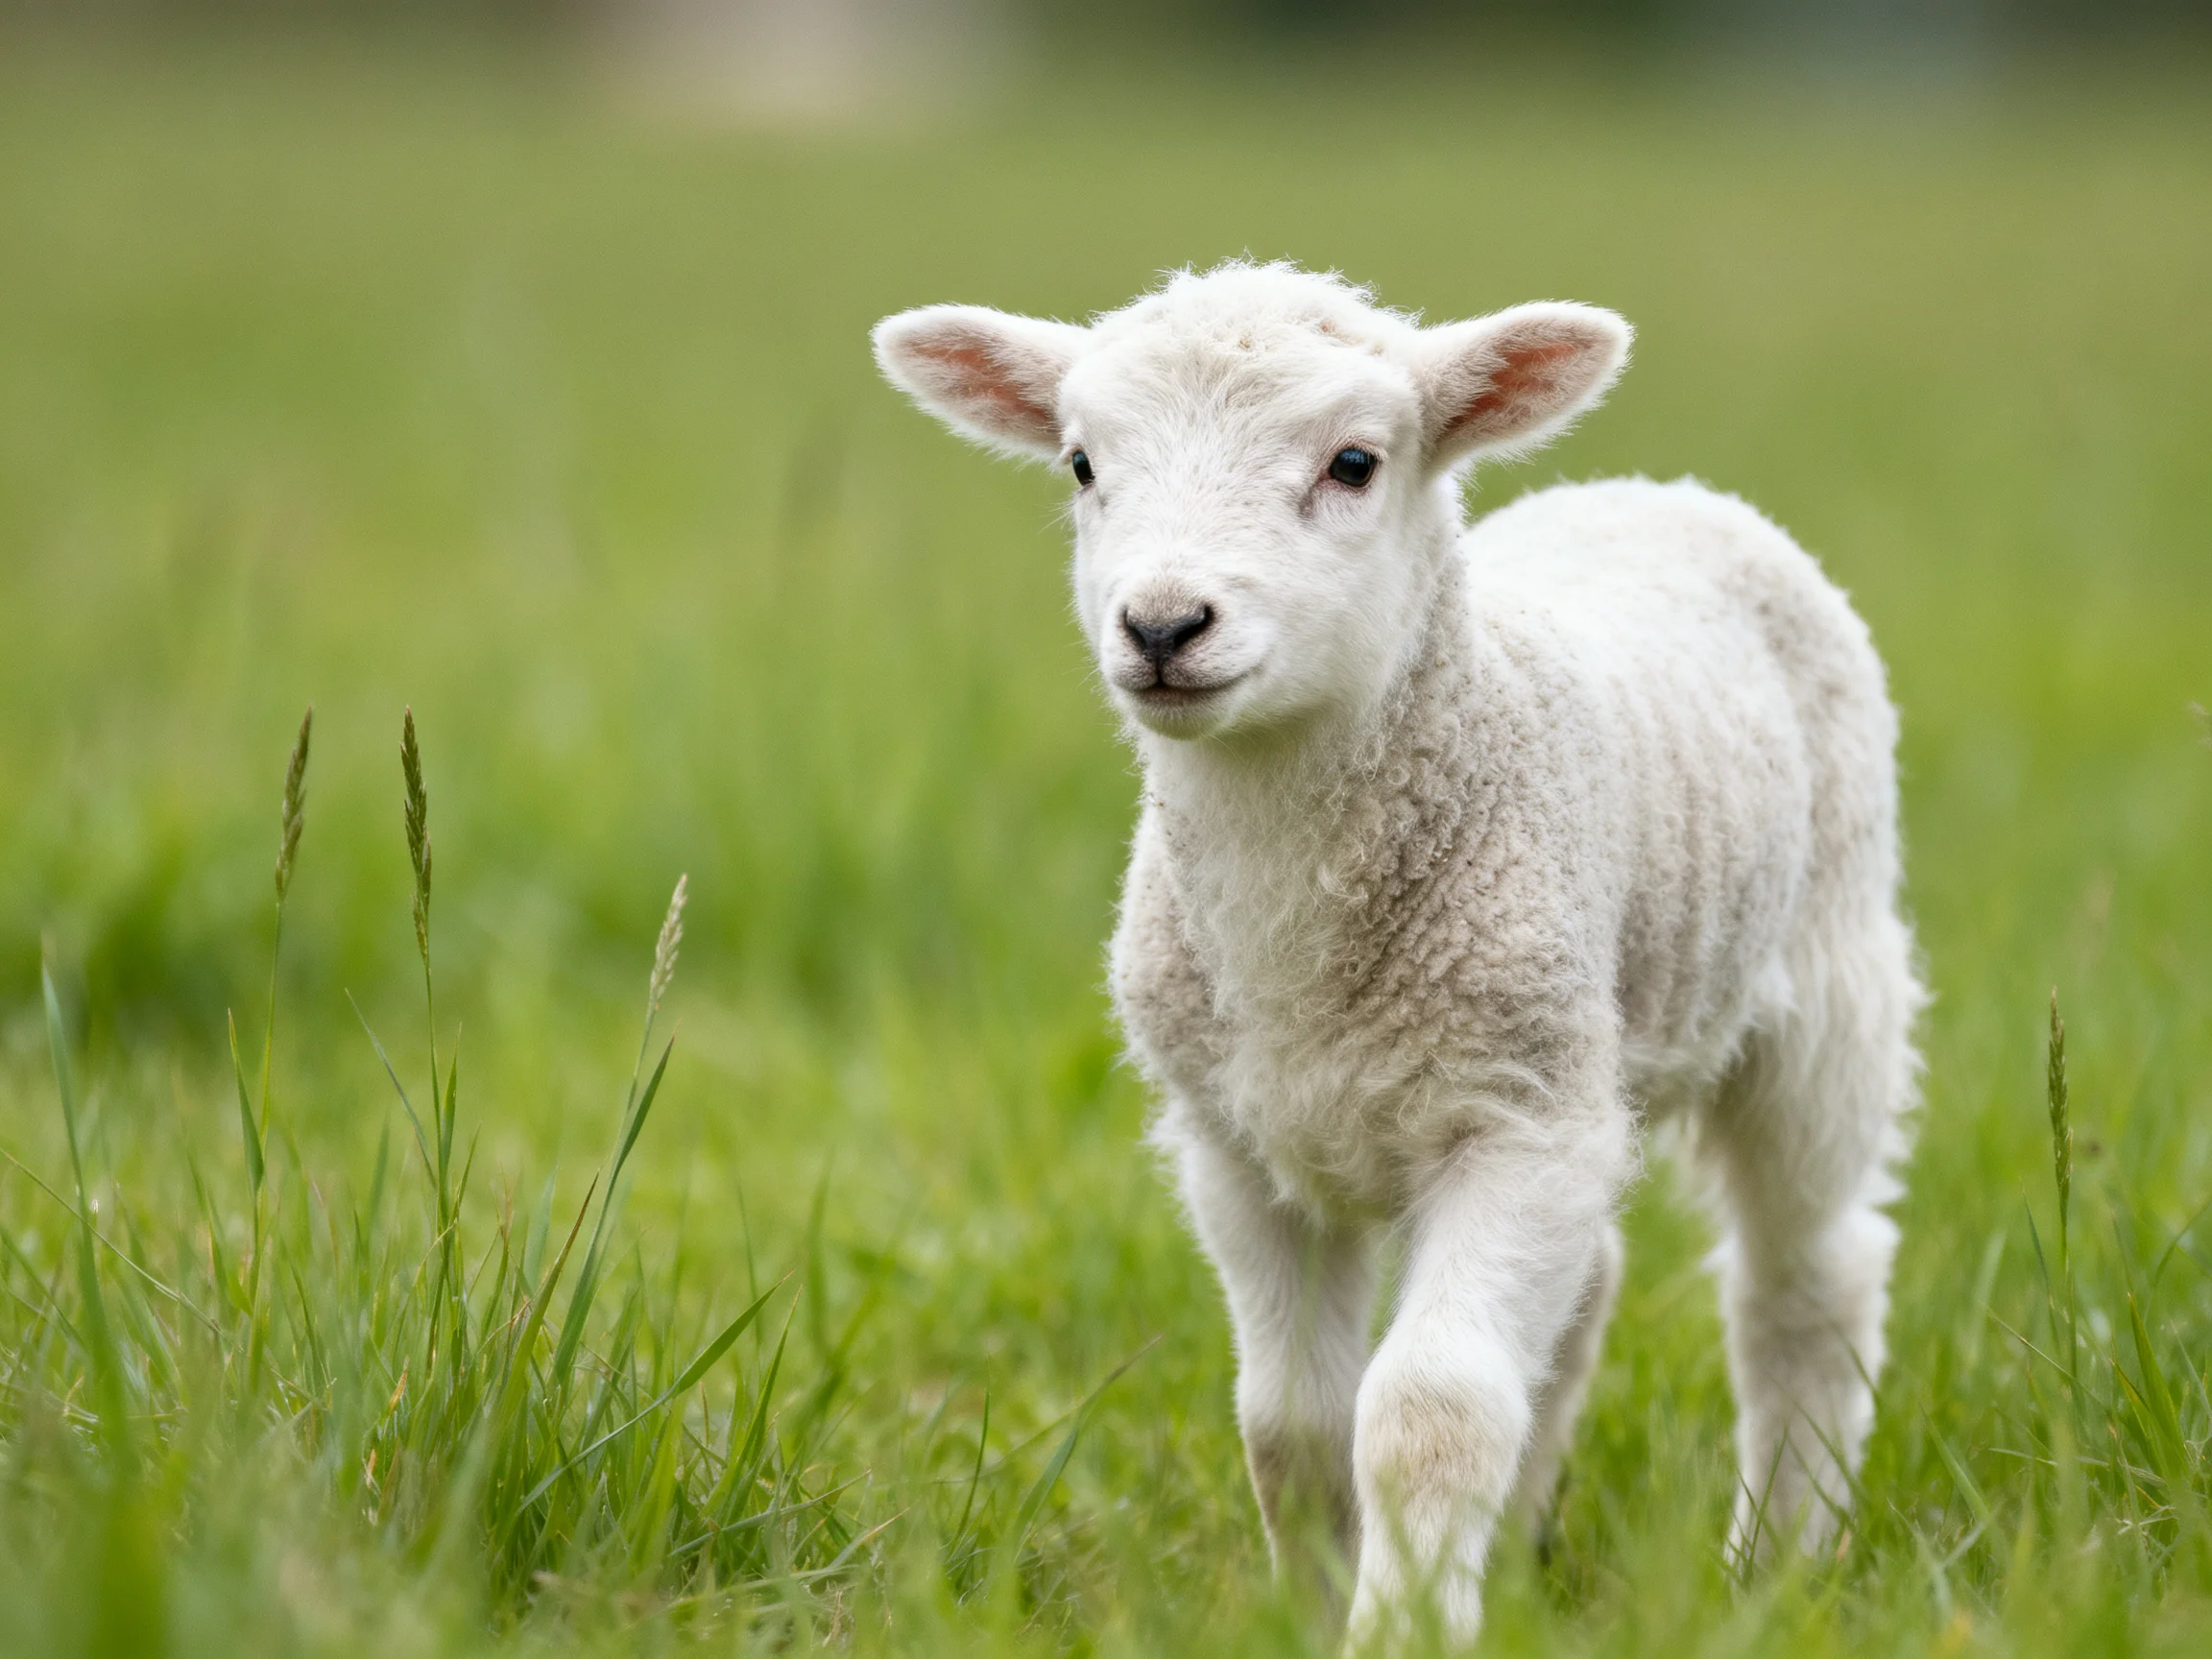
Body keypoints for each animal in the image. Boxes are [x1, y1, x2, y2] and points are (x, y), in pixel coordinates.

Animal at [873, 261, 1919, 1646]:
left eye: (1355, 462)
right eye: (1084, 464)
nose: (1163, 625)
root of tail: (1665, 492)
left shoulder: (1515, 1119)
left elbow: (1429, 1411)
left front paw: (1403, 1629)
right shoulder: (1235, 1145)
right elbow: (1294, 1425)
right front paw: (1318, 1615)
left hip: (1827, 986)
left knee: (1807, 1284)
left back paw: (1781, 1565)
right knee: (1590, 1292)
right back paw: (1521, 1556)